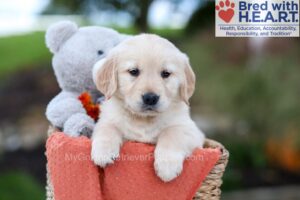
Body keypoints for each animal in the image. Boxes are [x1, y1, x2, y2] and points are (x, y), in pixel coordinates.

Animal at [90, 34, 205, 181]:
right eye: (133, 71)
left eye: (166, 73)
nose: (150, 98)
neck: (144, 119)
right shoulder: (107, 120)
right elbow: (107, 128)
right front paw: (103, 152)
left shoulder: (191, 130)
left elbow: (172, 133)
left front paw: (167, 165)